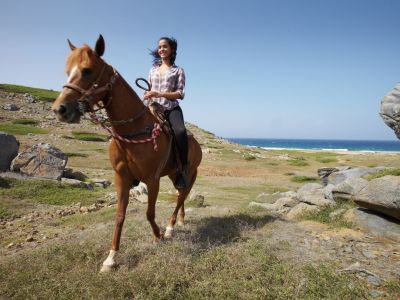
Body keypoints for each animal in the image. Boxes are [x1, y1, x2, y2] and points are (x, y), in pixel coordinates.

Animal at [52, 34, 203, 272]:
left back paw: (170, 228)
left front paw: (158, 236)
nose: (60, 109)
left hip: (190, 174)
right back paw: (179, 221)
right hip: (173, 174)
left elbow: (150, 213)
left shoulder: (152, 180)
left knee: (181, 197)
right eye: (68, 71)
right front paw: (111, 258)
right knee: (182, 198)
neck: (132, 131)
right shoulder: (121, 177)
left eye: (87, 70)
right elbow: (119, 215)